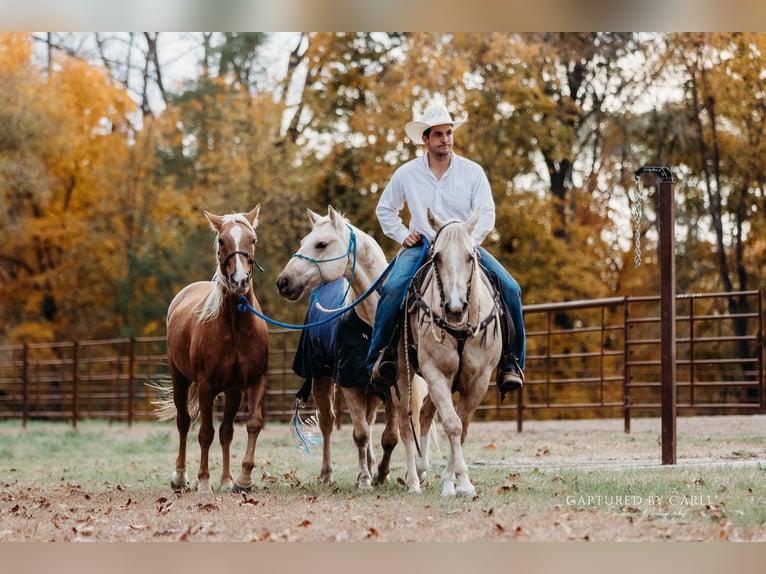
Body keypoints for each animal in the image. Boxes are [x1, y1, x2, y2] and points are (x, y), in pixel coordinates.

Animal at [155, 205, 269, 494]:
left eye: (252, 240)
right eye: (222, 241)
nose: (239, 281)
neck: (236, 327)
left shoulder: (254, 382)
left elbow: (251, 425)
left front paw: (243, 480)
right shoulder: (206, 386)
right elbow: (205, 433)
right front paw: (204, 482)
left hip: (231, 392)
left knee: (226, 431)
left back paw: (226, 479)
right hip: (180, 380)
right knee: (184, 423)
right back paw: (180, 477)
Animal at [276, 206, 428, 489]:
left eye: (321, 244)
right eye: (303, 242)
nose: (284, 282)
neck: (372, 324)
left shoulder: (391, 385)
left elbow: (390, 436)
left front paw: (385, 474)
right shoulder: (348, 383)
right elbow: (360, 434)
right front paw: (365, 479)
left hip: (371, 391)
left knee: (368, 423)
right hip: (322, 379)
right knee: (328, 422)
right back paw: (328, 473)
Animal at [395, 208, 505, 496]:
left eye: (470, 256)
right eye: (437, 257)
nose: (455, 308)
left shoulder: (478, 381)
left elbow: (462, 426)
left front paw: (452, 481)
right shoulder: (436, 373)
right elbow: (452, 424)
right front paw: (462, 482)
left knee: (424, 413)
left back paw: (422, 468)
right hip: (401, 374)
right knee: (405, 423)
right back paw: (413, 480)